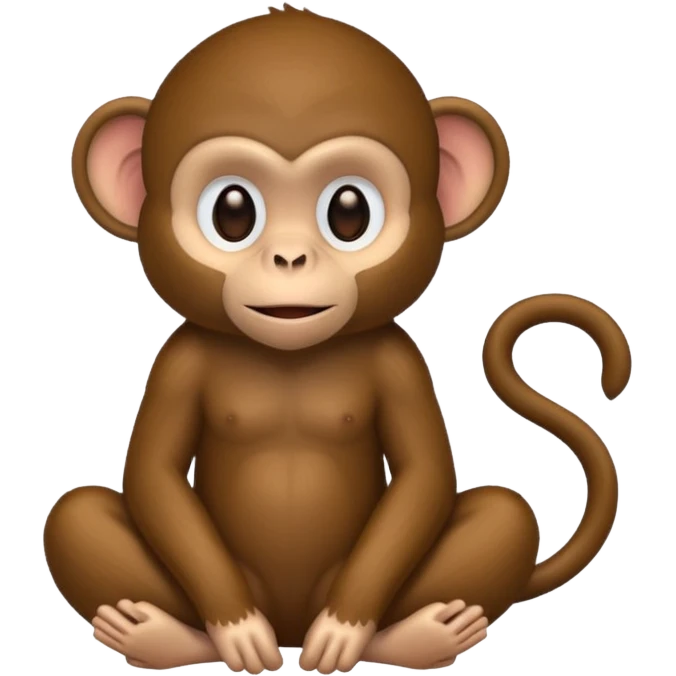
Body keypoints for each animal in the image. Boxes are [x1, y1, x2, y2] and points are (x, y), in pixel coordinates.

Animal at [45, 5, 632, 674]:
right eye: (232, 212)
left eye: (349, 212)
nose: (290, 258)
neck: (292, 356)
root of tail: (290, 627)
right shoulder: (179, 360)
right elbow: (154, 474)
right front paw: (235, 631)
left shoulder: (399, 360)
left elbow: (424, 473)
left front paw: (345, 631)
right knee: (73, 515)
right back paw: (162, 633)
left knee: (505, 516)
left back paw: (419, 634)